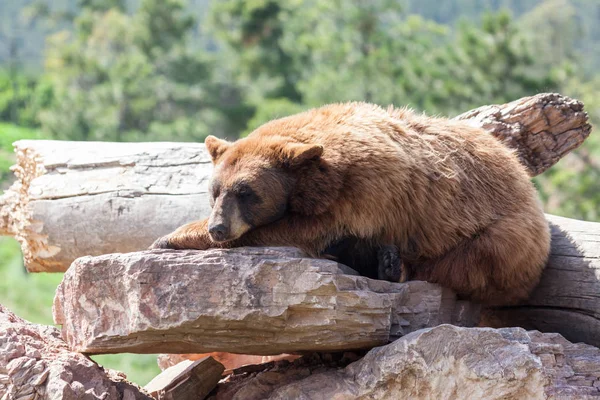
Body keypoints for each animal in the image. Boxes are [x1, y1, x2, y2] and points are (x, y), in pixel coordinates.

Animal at [152, 101, 552, 304]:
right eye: (215, 190)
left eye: (246, 192)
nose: (218, 228)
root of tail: (525, 179)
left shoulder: (364, 192)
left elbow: (296, 231)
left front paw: (170, 236)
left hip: (503, 236)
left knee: (468, 264)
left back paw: (394, 265)